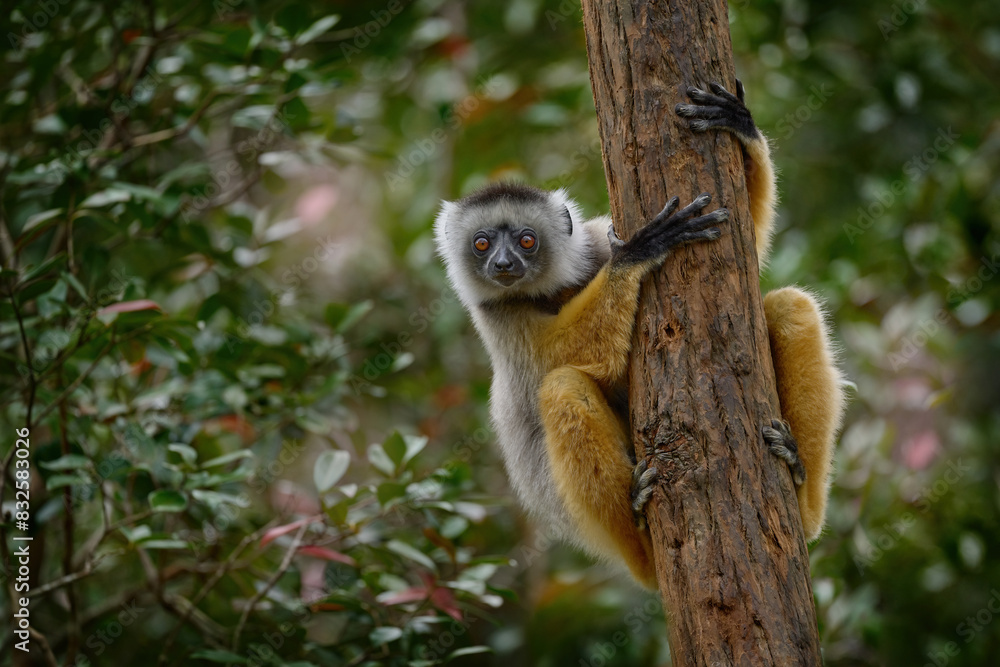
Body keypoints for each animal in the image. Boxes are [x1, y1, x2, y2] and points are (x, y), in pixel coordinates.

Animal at [434, 81, 845, 588]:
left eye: (526, 240)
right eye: (482, 244)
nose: (504, 265)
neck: (550, 290)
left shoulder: (591, 243)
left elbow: (749, 241)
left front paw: (739, 124)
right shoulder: (498, 317)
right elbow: (559, 357)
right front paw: (636, 253)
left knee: (790, 307)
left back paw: (799, 483)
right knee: (561, 387)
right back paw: (640, 526)